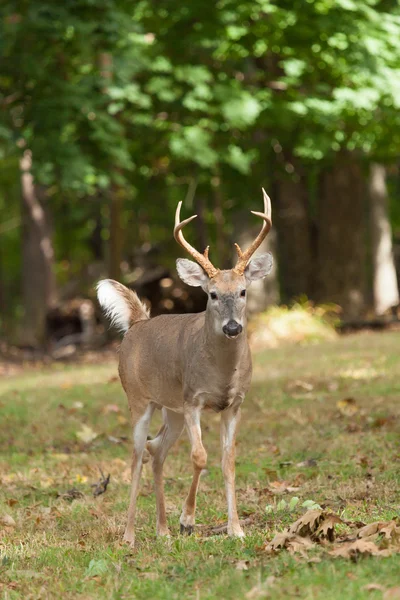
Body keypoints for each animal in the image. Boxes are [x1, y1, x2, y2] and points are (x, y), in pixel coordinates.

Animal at [96, 190, 272, 548]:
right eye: (212, 294)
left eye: (243, 291)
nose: (232, 328)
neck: (221, 373)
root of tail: (138, 323)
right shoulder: (193, 399)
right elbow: (199, 457)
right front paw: (188, 520)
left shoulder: (235, 403)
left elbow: (228, 461)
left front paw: (236, 529)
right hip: (138, 398)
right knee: (136, 454)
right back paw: (130, 535)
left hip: (171, 409)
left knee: (156, 450)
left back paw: (162, 530)